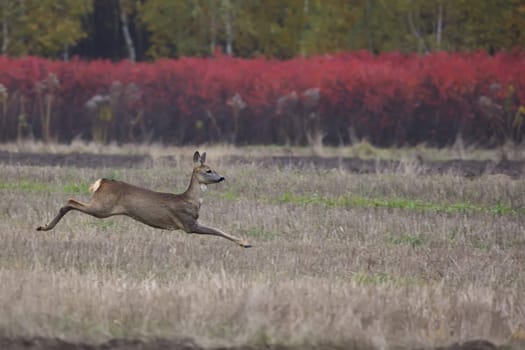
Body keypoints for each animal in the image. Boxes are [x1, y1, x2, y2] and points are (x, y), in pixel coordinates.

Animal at [35, 152, 252, 247]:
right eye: (208, 170)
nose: (222, 178)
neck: (189, 200)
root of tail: (101, 182)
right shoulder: (188, 224)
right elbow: (216, 230)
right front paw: (245, 242)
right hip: (102, 207)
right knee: (70, 201)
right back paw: (44, 227)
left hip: (101, 207)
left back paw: (43, 227)